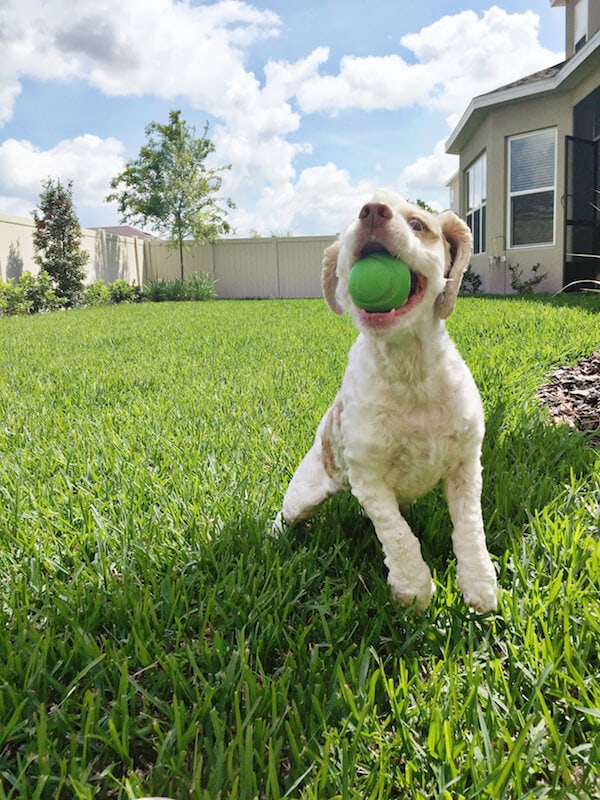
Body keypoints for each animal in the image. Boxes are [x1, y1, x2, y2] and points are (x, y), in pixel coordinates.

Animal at [276, 189, 496, 612]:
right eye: (349, 228)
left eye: (418, 224)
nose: (373, 211)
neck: (410, 373)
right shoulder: (369, 477)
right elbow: (396, 533)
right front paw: (414, 589)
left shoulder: (466, 464)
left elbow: (469, 526)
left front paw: (480, 585)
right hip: (303, 494)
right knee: (285, 515)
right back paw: (274, 537)